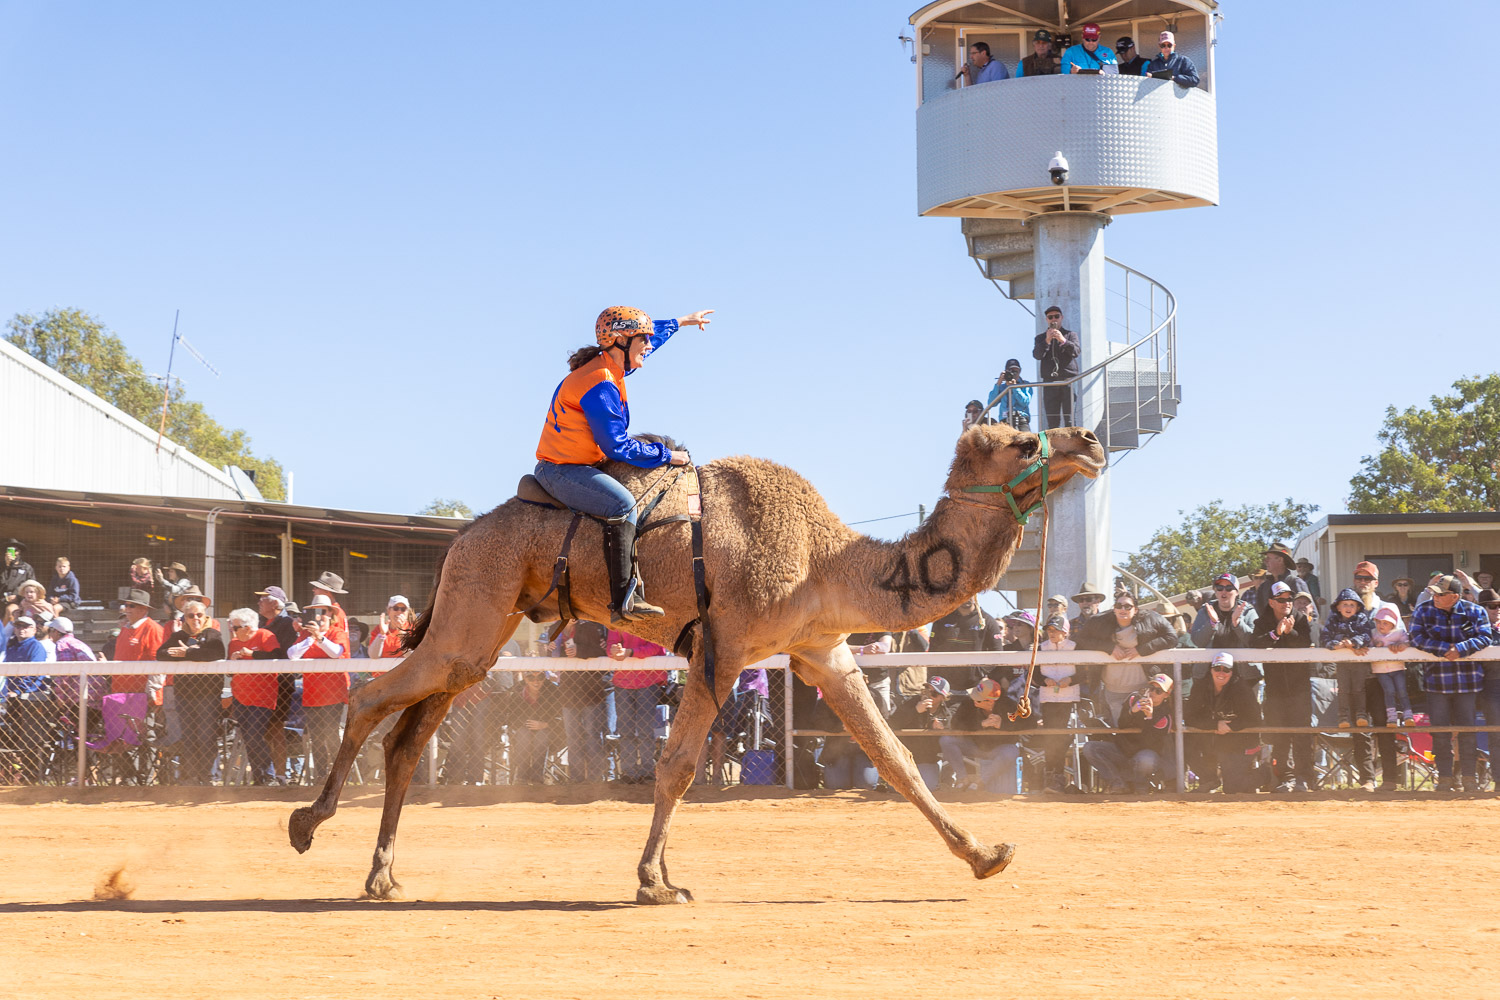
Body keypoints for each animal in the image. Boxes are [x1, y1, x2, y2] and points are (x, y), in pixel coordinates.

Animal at [288, 422, 1106, 903]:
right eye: (1024, 441)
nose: (1090, 440)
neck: (824, 558)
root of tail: (458, 537)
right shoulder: (727, 644)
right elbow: (678, 764)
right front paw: (655, 882)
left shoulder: (822, 650)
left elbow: (897, 758)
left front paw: (986, 855)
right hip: (472, 612)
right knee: (371, 703)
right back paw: (306, 824)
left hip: (482, 632)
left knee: (408, 736)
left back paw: (383, 875)